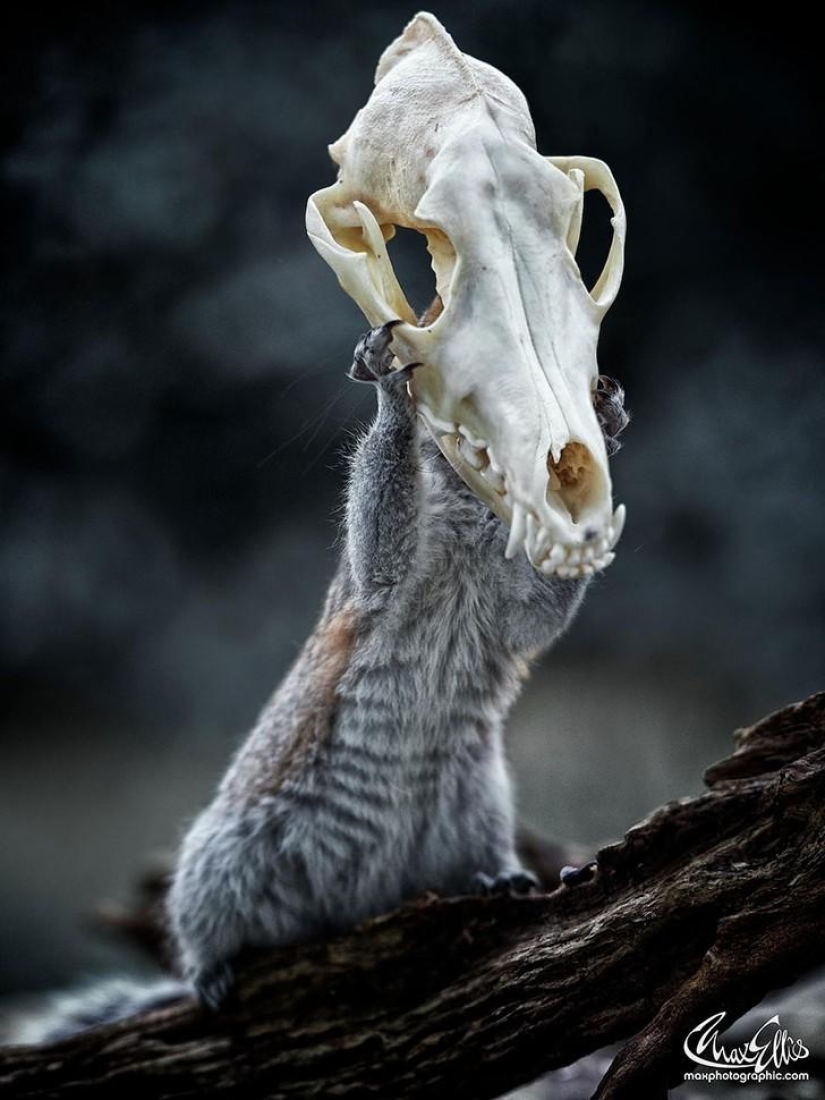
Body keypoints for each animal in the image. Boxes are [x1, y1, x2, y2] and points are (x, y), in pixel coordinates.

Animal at [10, 318, 629, 1041]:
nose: (555, 447)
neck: (470, 529)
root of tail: (353, 905)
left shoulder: (508, 609)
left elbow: (538, 611)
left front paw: (605, 434)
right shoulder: (379, 583)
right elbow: (382, 530)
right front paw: (390, 393)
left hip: (475, 809)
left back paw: (493, 879)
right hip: (223, 859)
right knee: (204, 927)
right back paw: (209, 971)